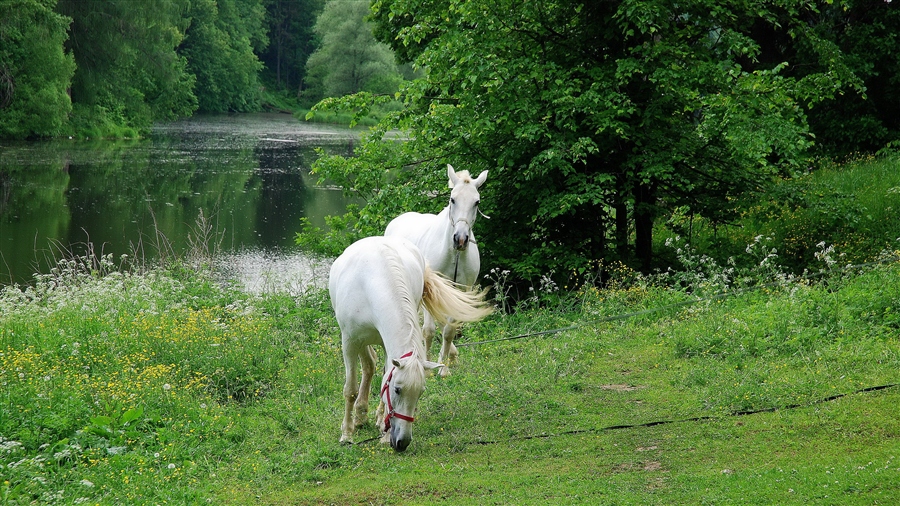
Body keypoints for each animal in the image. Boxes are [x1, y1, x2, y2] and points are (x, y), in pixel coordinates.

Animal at [328, 235, 488, 452]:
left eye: (420, 393)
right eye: (397, 389)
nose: (402, 442)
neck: (372, 284)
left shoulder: (386, 343)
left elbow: (384, 376)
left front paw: (384, 430)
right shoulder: (350, 341)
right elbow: (350, 390)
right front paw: (346, 434)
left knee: (371, 365)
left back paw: (369, 416)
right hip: (359, 341)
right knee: (368, 364)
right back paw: (359, 418)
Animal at [384, 165, 488, 376]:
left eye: (477, 202)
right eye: (452, 199)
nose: (460, 239)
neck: (453, 255)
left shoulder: (459, 291)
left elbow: (449, 330)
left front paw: (444, 368)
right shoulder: (429, 291)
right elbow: (429, 330)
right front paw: (427, 368)